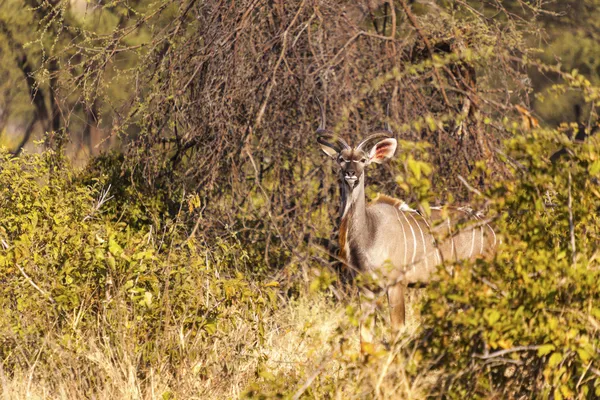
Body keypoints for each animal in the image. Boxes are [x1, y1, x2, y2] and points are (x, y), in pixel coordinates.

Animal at [314, 105, 496, 350]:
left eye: (363, 160)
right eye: (341, 159)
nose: (350, 173)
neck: (369, 233)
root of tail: (493, 232)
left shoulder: (396, 284)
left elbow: (397, 331)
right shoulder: (366, 289)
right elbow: (365, 338)